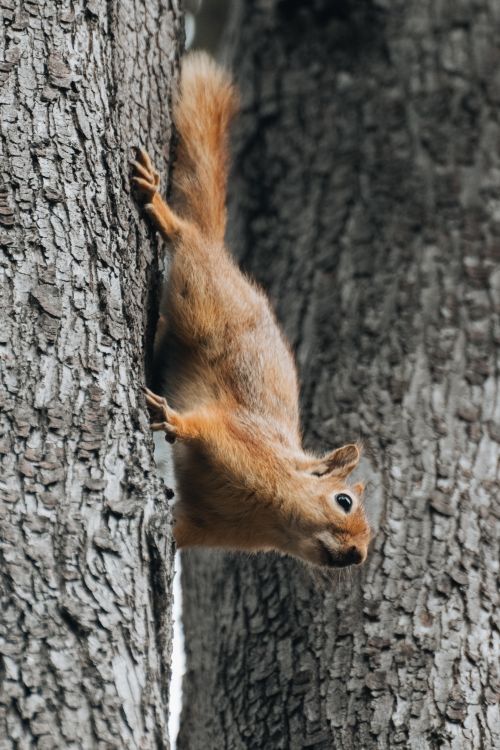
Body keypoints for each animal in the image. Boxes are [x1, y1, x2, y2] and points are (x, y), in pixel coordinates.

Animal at [131, 52, 371, 569]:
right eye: (344, 501)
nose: (357, 555)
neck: (269, 516)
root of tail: (226, 261)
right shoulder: (239, 442)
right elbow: (203, 427)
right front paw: (172, 419)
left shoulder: (204, 524)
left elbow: (179, 527)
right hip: (203, 293)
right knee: (188, 240)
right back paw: (161, 209)